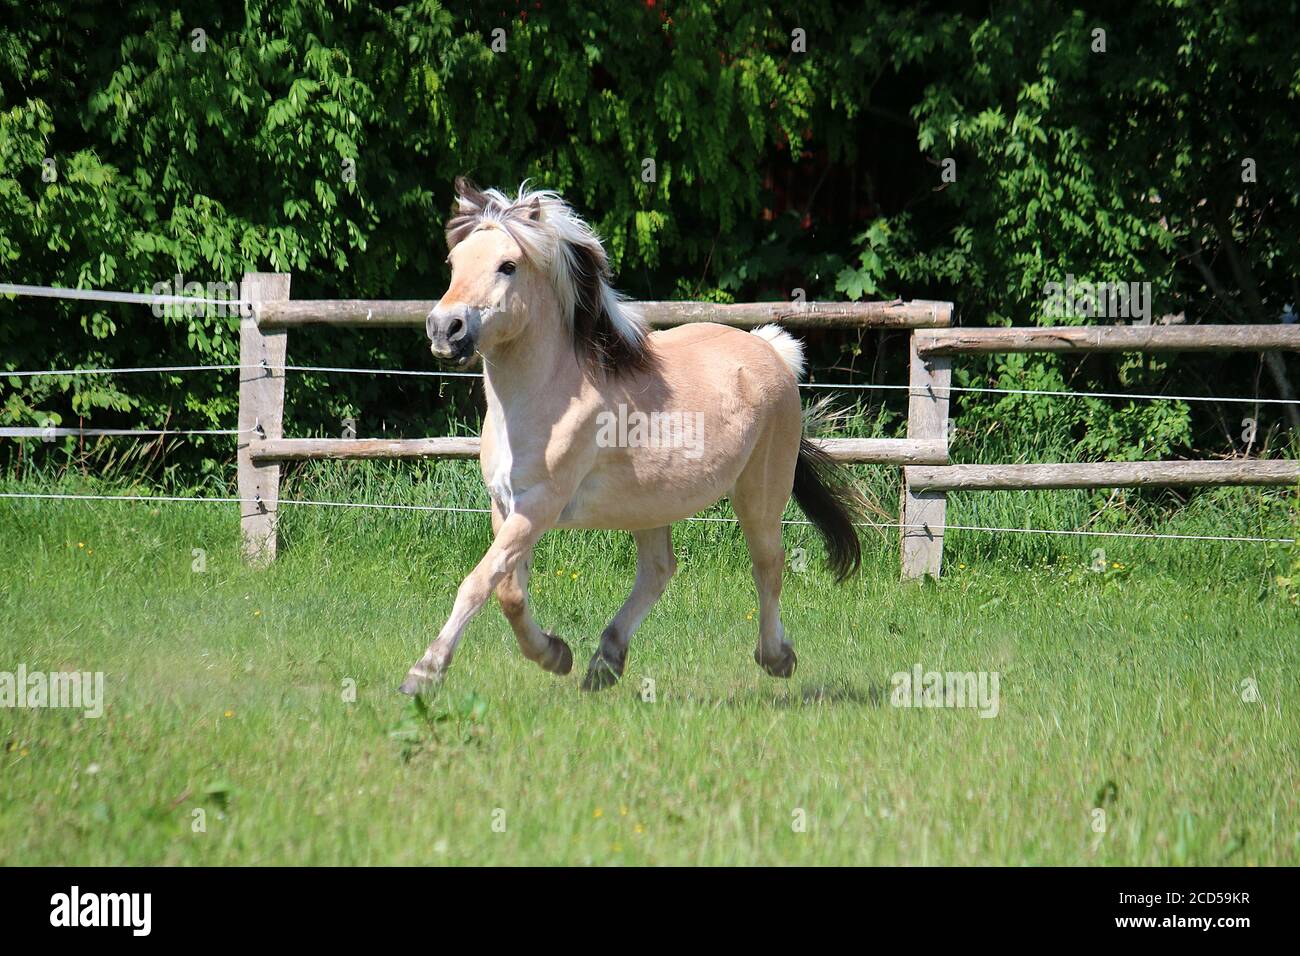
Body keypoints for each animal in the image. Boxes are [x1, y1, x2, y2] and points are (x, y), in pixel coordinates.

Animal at [398, 179, 866, 695]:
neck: (544, 397)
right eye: (454, 264)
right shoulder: (506, 507)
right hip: (650, 503)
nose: (445, 329)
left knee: (768, 565)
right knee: (659, 570)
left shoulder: (538, 506)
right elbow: (509, 592)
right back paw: (605, 661)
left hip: (759, 495)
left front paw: (424, 672)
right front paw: (555, 655)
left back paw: (777, 658)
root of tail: (771, 350)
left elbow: (479, 583)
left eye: (508, 266)